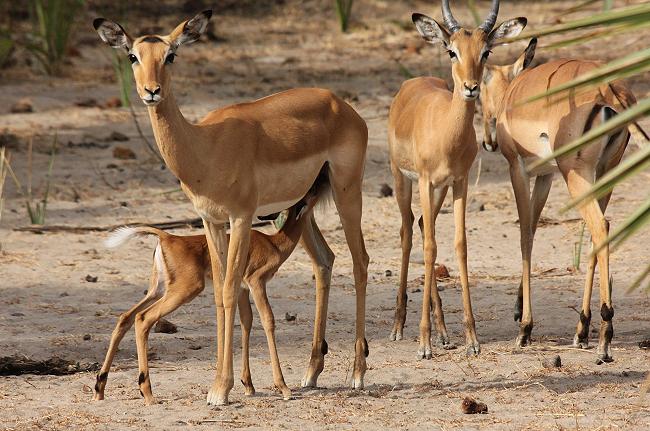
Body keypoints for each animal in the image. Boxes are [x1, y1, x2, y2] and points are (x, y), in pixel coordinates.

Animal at [93, 184, 326, 406]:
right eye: (309, 194)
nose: (318, 186)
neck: (274, 244)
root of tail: (168, 237)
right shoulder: (256, 283)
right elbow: (268, 320)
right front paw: (283, 389)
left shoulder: (242, 290)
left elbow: (246, 322)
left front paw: (248, 386)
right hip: (184, 290)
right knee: (143, 319)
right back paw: (148, 394)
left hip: (158, 290)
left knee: (125, 317)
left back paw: (100, 388)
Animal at [388, 0, 524, 360]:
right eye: (452, 51)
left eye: (486, 51)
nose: (470, 87)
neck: (446, 133)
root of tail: (410, 83)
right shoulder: (424, 181)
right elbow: (429, 247)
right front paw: (423, 344)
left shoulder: (459, 182)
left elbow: (459, 246)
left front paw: (471, 339)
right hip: (402, 180)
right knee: (409, 233)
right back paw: (399, 327)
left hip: (439, 190)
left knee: (424, 225)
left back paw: (444, 332)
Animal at [478, 39, 640, 362]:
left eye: (482, 84)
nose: (488, 141)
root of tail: (608, 88)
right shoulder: (546, 176)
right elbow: (534, 225)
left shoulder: (518, 169)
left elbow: (525, 234)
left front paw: (524, 329)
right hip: (605, 171)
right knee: (597, 233)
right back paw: (582, 330)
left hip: (576, 175)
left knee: (600, 226)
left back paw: (604, 338)